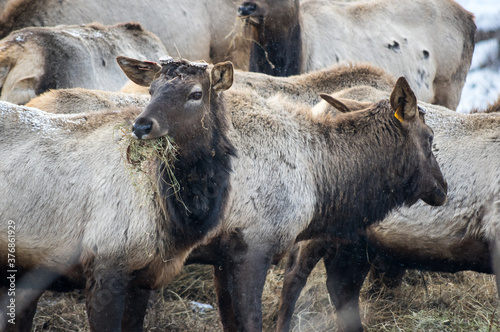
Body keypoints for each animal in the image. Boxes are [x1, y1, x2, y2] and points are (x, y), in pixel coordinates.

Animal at [119, 55, 448, 330]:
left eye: (195, 94)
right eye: (430, 137)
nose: (442, 188)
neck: (320, 185)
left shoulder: (221, 256)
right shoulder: (253, 247)